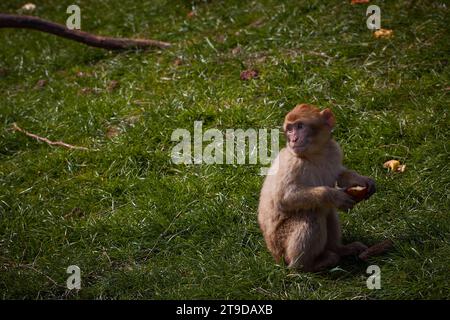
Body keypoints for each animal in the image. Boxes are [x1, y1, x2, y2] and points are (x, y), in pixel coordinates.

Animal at [258, 104, 374, 272]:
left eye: (300, 126)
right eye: (289, 129)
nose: (293, 139)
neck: (315, 154)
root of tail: (274, 255)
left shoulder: (334, 150)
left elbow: (339, 174)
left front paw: (361, 179)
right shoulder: (291, 163)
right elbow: (284, 198)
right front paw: (334, 195)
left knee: (328, 212)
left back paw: (339, 249)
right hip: (281, 243)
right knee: (312, 213)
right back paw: (306, 266)